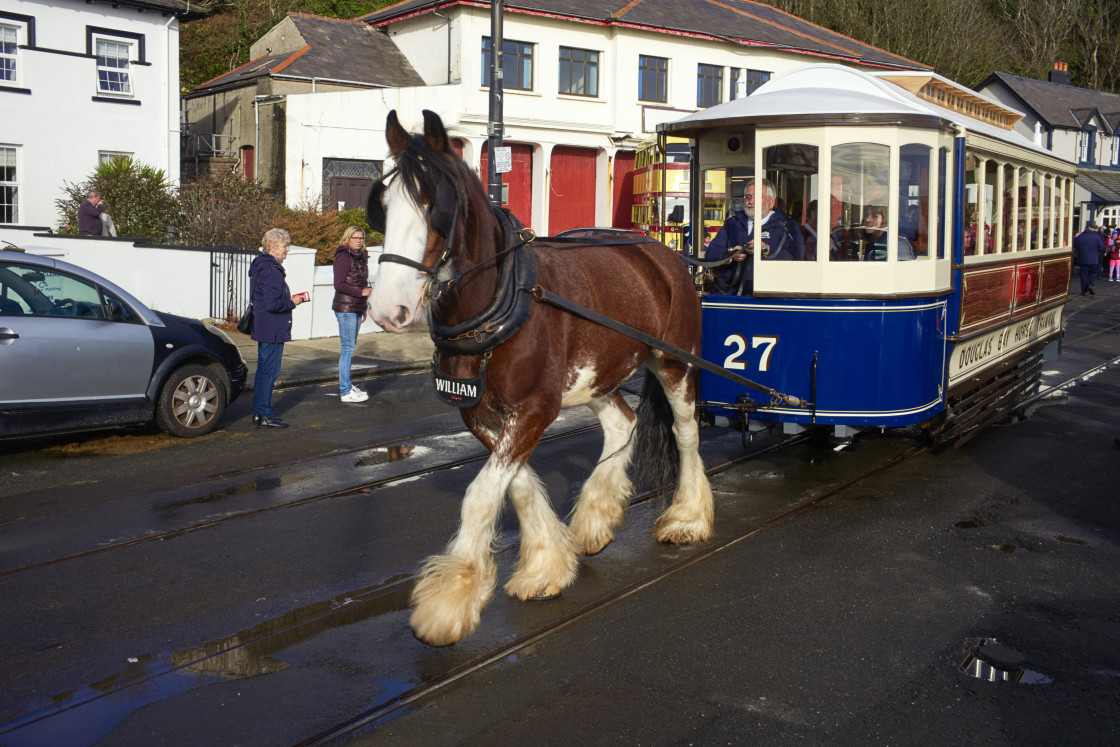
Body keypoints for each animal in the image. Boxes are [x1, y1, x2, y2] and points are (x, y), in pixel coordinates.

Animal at [371, 110, 712, 649]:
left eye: (434, 205)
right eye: (383, 206)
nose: (387, 310)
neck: (499, 299)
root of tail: (663, 251)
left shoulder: (535, 407)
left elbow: (481, 495)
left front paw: (447, 602)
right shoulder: (480, 413)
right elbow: (517, 485)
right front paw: (546, 565)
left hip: (676, 362)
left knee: (686, 433)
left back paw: (688, 517)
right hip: (597, 373)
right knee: (623, 422)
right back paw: (595, 518)